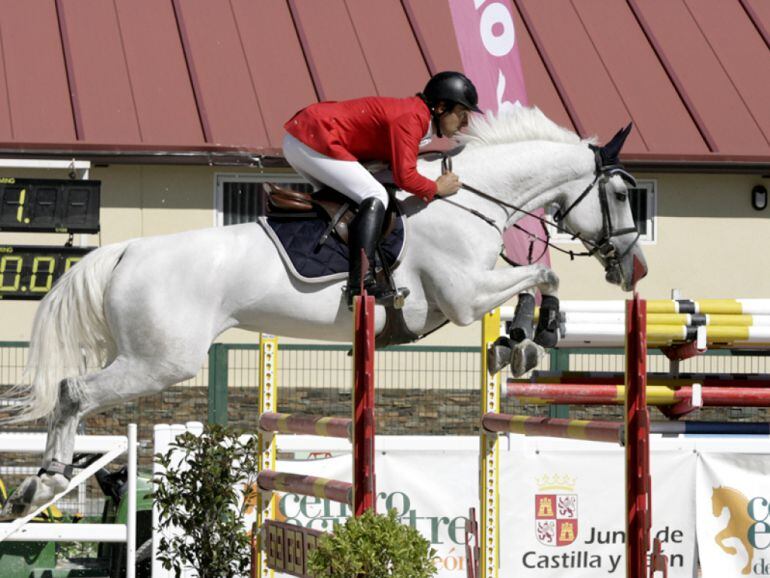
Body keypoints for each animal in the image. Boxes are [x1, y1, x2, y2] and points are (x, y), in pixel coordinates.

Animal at [3, 107, 644, 512]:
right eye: (619, 194)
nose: (633, 269)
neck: (470, 201)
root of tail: (126, 250)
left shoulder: (468, 295)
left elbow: (534, 278)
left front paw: (522, 338)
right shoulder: (463, 297)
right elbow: (543, 272)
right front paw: (533, 336)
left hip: (141, 354)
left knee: (72, 392)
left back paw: (39, 485)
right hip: (161, 361)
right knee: (74, 392)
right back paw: (43, 486)